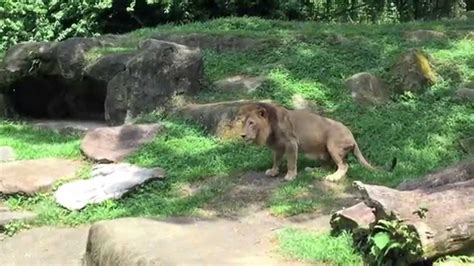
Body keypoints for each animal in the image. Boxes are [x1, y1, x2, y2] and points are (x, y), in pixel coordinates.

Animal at [237, 101, 396, 181]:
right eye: (243, 122)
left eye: (251, 123)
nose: (242, 135)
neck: (269, 127)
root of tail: (352, 137)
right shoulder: (278, 147)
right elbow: (276, 160)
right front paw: (273, 171)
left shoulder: (291, 143)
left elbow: (291, 162)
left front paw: (290, 176)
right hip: (324, 152)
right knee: (329, 165)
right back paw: (311, 170)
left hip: (332, 145)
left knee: (343, 165)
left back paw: (333, 177)